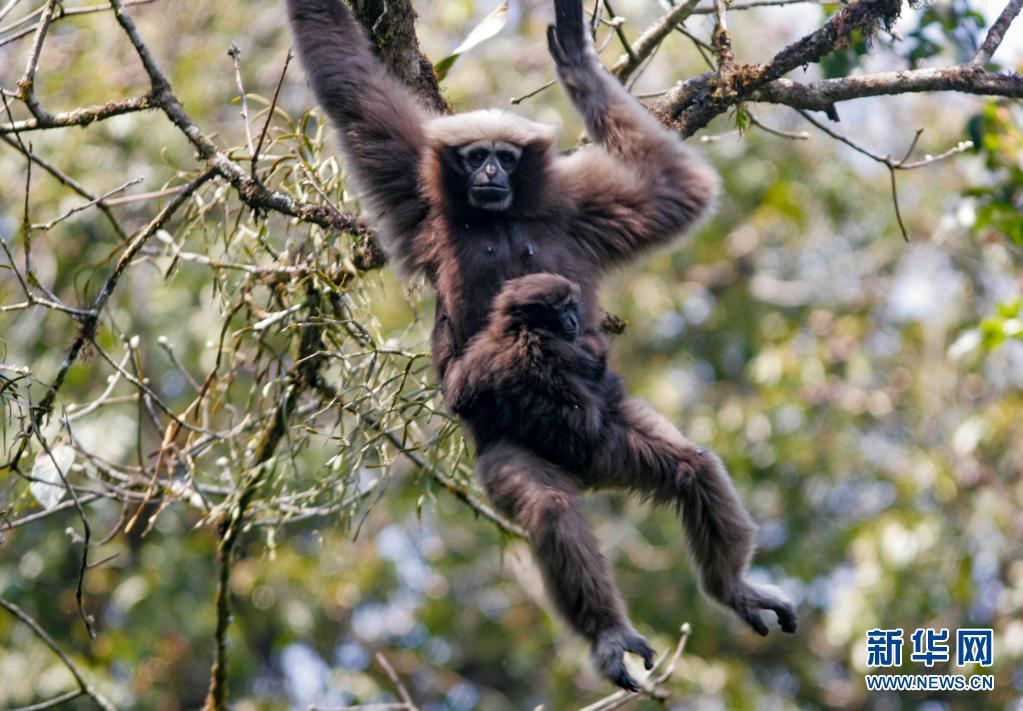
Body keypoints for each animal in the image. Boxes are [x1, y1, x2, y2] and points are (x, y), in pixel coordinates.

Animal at [287, 0, 796, 691]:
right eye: (475, 156)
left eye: (504, 156)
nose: (490, 172)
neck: (501, 218)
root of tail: (588, 467)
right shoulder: (420, 195)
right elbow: (347, 84)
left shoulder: (577, 207)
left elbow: (678, 189)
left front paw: (577, 59)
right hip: (507, 447)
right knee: (553, 507)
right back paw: (611, 631)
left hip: (612, 433)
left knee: (692, 466)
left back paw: (732, 587)